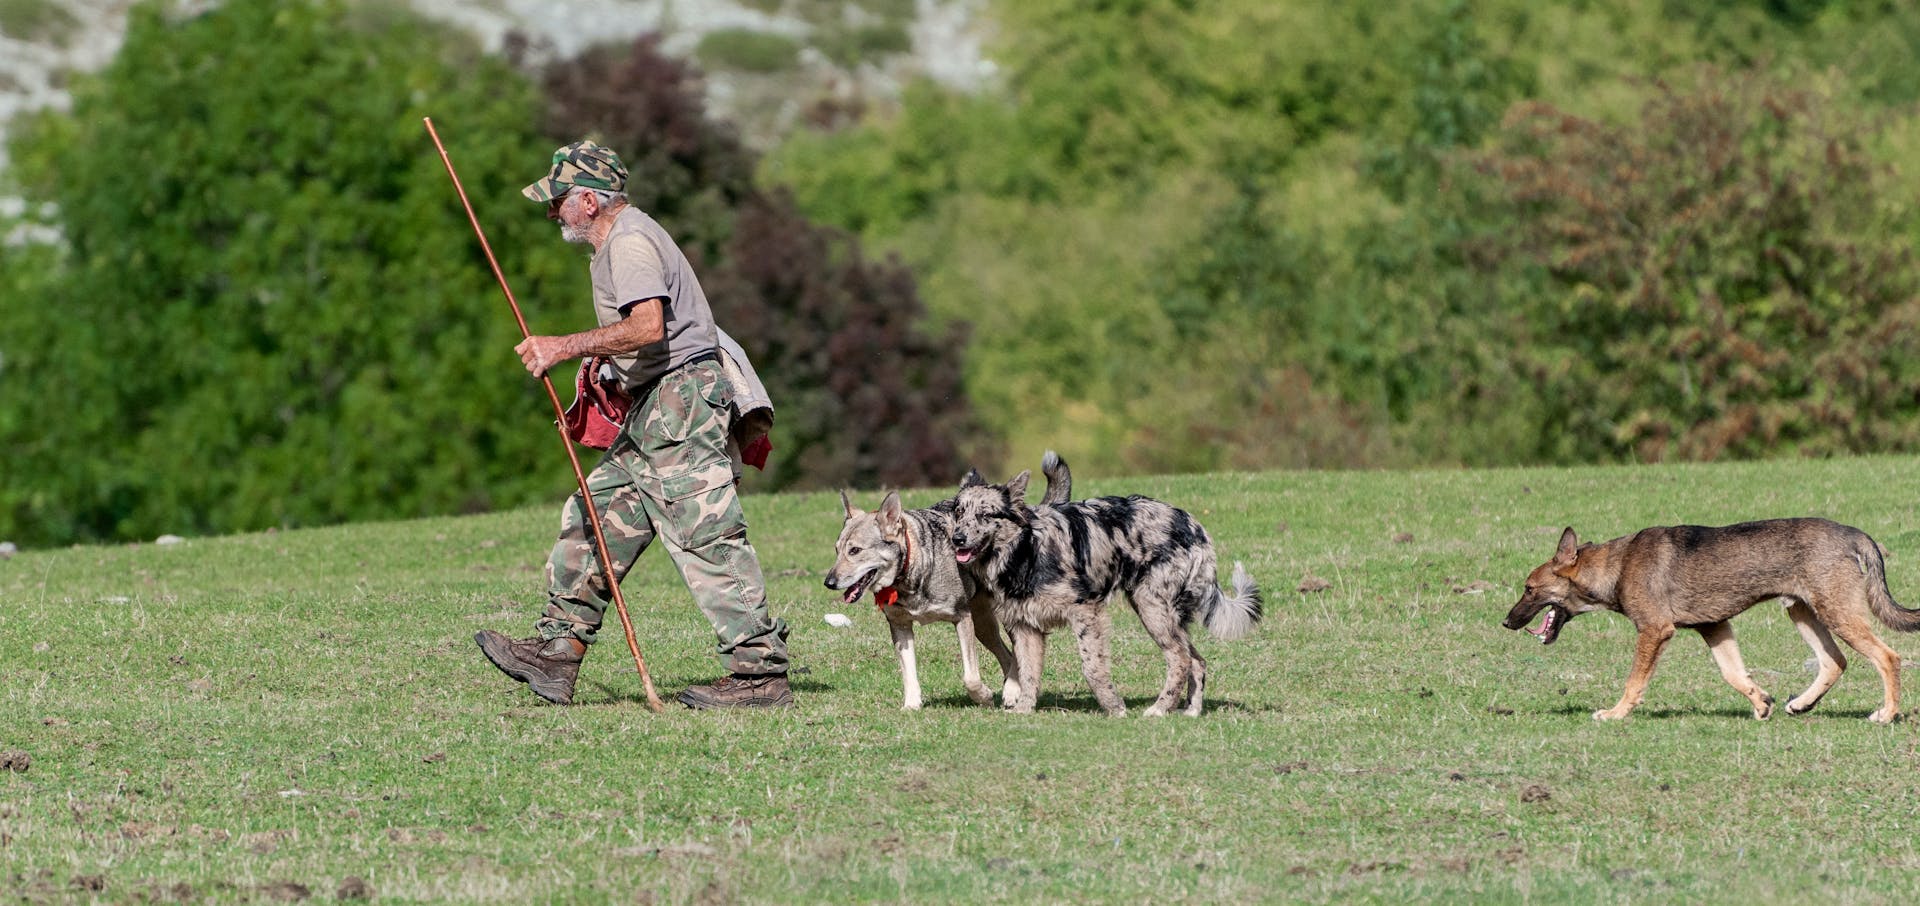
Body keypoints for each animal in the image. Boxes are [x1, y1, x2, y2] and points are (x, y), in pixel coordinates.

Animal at [944, 466, 1259, 714]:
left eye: (985, 515)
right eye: (959, 512)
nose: (957, 538)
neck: (1026, 550)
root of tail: (1194, 527)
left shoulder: (1086, 611)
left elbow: (1091, 666)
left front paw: (1114, 707)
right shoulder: (1025, 626)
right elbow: (1029, 672)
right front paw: (1023, 710)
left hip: (1152, 608)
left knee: (1179, 659)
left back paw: (1159, 709)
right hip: (1165, 615)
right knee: (1197, 660)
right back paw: (1190, 711)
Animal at [1497, 522, 1920, 725]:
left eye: (1529, 589)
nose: (1505, 621)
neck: (1616, 566)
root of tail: (1854, 533)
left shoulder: (1654, 631)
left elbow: (1633, 682)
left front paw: (1615, 714)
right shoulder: (1715, 627)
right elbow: (1734, 674)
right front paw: (1761, 703)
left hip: (1835, 613)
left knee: (1888, 657)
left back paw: (1886, 714)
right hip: (1802, 611)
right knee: (1835, 662)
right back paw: (1801, 704)